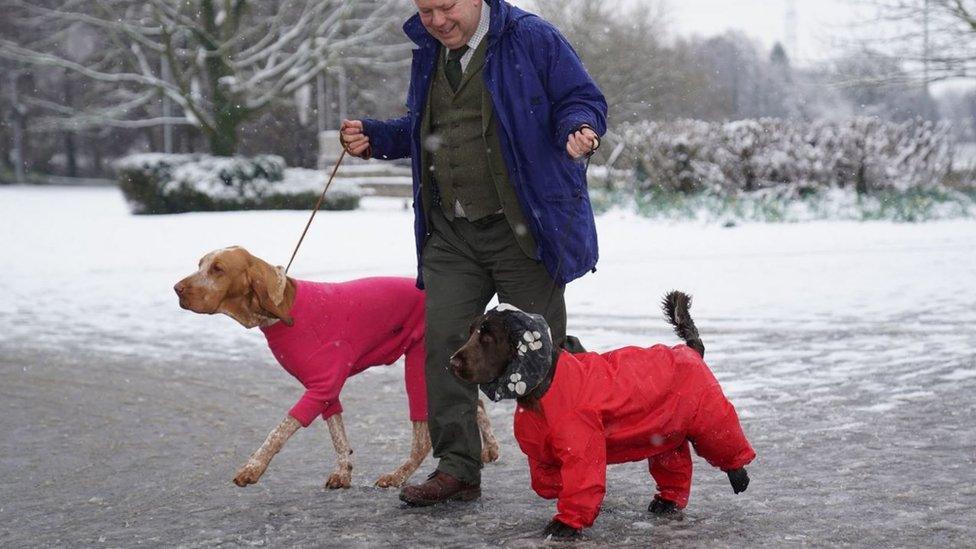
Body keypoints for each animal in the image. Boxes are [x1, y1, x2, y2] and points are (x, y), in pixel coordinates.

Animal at [172, 246, 500, 490]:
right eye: (200, 264)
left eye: (217, 269)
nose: (176, 289)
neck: (283, 309)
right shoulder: (325, 391)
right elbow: (337, 433)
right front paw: (343, 471)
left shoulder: (321, 386)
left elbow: (280, 430)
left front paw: (253, 466)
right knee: (477, 405)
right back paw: (490, 448)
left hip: (419, 364)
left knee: (423, 439)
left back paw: (398, 475)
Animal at [450, 294, 756, 536]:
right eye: (470, 331)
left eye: (487, 336)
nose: (453, 361)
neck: (543, 389)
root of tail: (690, 350)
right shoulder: (540, 450)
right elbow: (544, 483)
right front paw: (563, 491)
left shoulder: (582, 447)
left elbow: (580, 482)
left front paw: (565, 525)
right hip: (666, 433)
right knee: (675, 464)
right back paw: (667, 502)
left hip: (707, 415)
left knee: (723, 440)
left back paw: (739, 475)